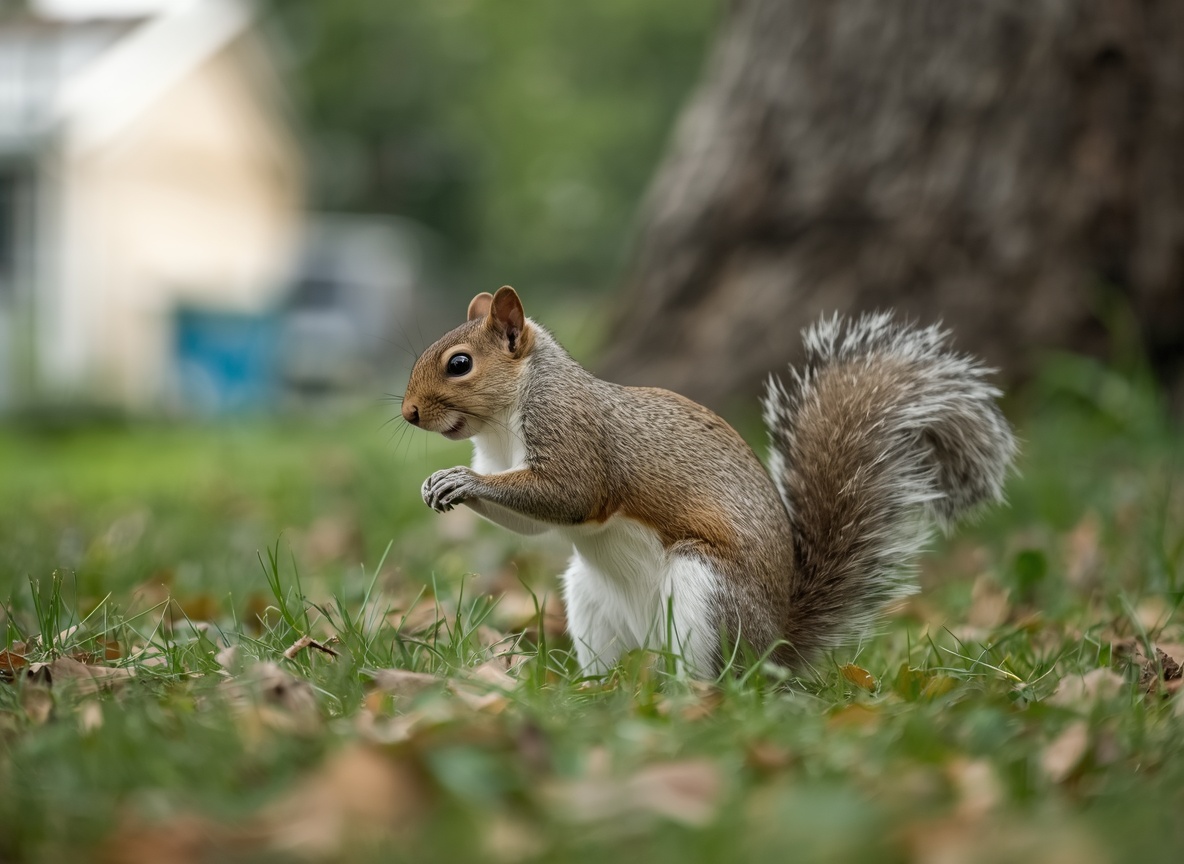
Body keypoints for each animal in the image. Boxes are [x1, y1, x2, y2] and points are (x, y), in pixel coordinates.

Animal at [401, 286, 1016, 676]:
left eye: (460, 364)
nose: (408, 414)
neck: (504, 423)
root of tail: (775, 649)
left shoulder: (574, 436)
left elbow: (570, 495)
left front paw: (461, 480)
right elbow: (530, 524)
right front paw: (437, 482)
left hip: (705, 593)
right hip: (589, 603)